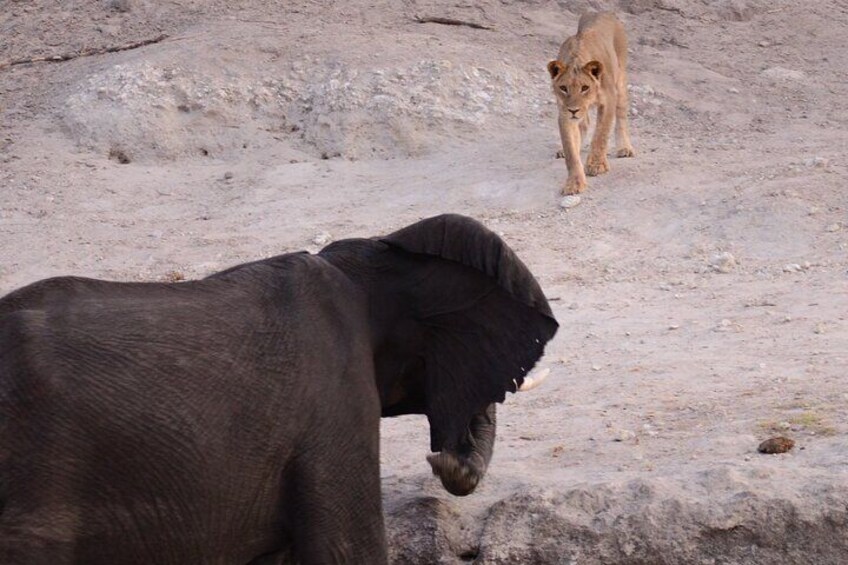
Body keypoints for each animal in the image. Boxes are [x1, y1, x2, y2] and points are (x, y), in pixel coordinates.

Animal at [548, 11, 635, 195]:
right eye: (563, 88)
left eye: (585, 87)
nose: (574, 110)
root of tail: (602, 12)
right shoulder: (563, 112)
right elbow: (570, 150)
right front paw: (574, 183)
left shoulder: (608, 100)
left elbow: (601, 134)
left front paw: (597, 165)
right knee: (584, 123)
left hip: (620, 79)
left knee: (621, 115)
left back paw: (624, 148)